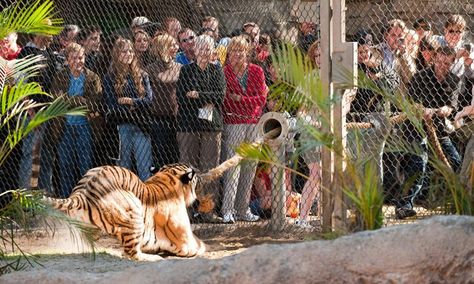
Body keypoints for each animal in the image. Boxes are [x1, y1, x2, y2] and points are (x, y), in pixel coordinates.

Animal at [45, 151, 250, 262]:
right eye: (195, 177)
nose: (199, 173)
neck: (167, 178)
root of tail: (82, 192)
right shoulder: (185, 239)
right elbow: (198, 246)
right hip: (134, 212)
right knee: (131, 253)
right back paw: (152, 257)